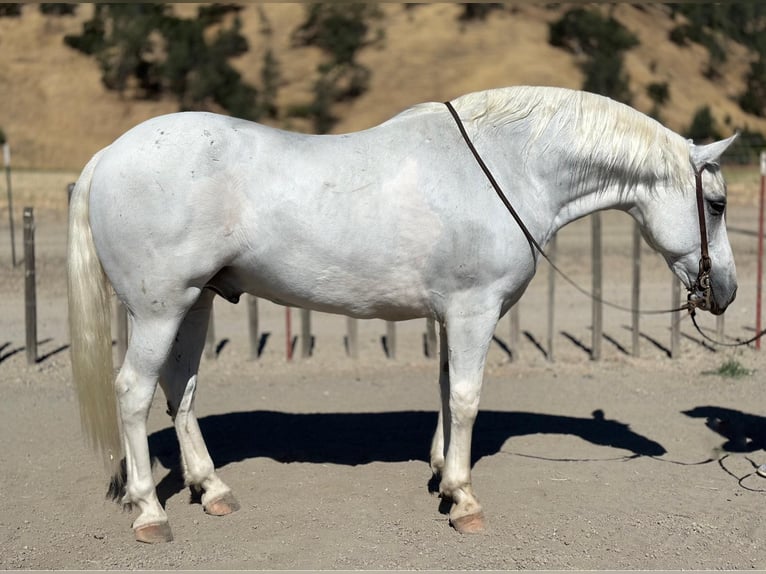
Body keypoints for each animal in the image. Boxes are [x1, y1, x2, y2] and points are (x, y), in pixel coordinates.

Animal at [68, 85, 738, 543]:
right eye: (717, 202)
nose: (726, 292)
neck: (508, 167)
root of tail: (109, 155)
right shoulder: (473, 311)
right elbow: (466, 396)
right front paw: (464, 500)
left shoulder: (449, 315)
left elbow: (444, 389)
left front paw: (442, 474)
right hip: (159, 310)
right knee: (133, 392)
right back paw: (150, 511)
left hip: (197, 301)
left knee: (181, 389)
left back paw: (212, 490)